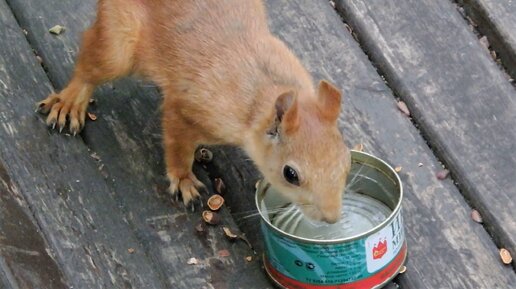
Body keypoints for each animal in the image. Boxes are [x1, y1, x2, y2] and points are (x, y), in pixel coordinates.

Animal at [35, 0, 350, 223]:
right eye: (290, 174)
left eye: (346, 162)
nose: (332, 218)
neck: (262, 88)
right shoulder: (186, 108)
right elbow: (177, 147)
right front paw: (184, 180)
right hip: (119, 44)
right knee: (90, 61)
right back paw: (70, 101)